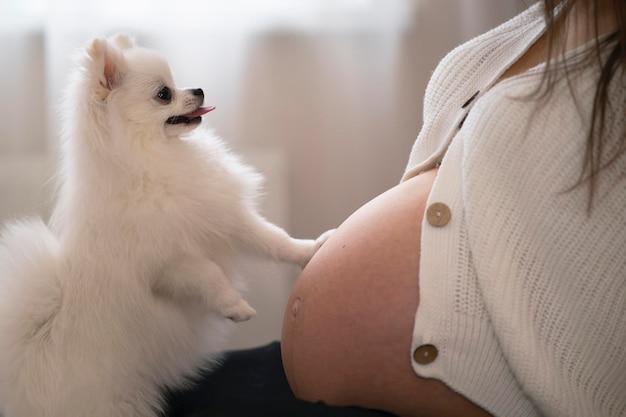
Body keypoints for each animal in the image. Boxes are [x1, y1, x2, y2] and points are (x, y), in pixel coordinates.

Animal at [0, 34, 332, 414]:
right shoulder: (166, 266)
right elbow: (209, 273)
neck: (151, 164)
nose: (199, 89)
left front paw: (311, 250)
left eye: (176, 83)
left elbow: (274, 239)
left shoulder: (226, 217)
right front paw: (234, 307)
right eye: (164, 93)